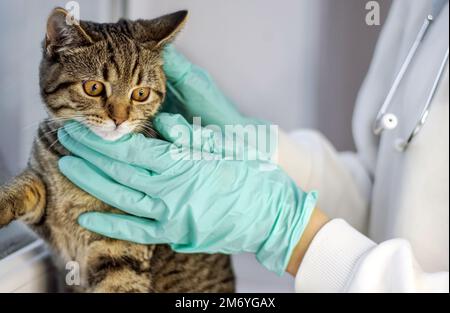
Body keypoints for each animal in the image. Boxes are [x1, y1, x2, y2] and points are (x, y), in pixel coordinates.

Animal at [0, 7, 234, 292]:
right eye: (94, 87)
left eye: (141, 93)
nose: (119, 118)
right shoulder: (44, 203)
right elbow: (24, 186)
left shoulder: (121, 249)